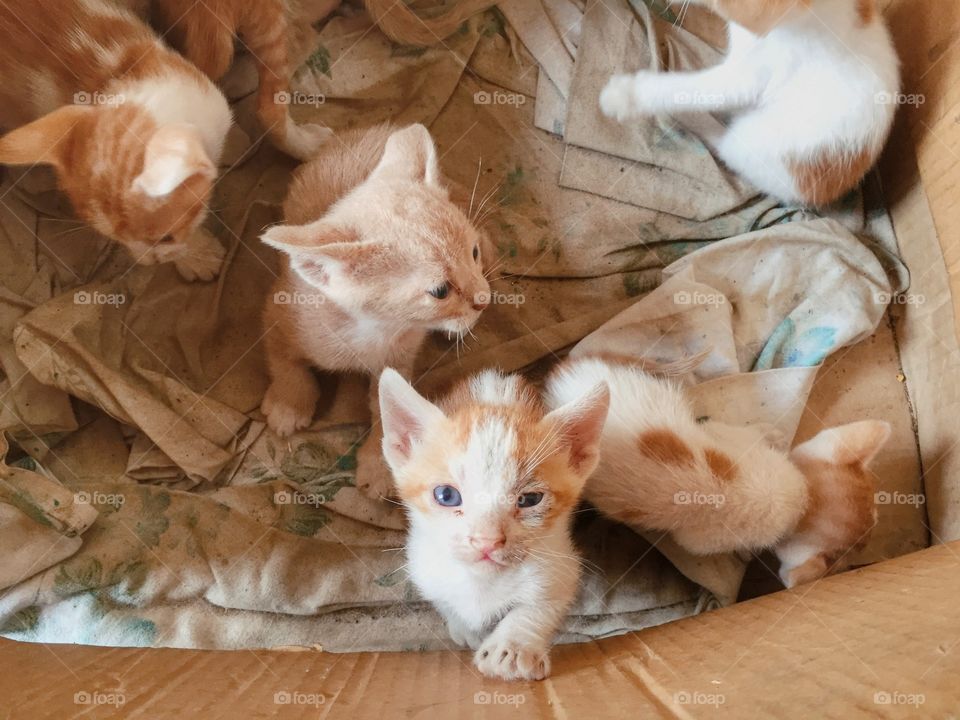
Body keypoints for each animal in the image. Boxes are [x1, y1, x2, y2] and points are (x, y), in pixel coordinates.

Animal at [260, 122, 492, 500]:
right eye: (440, 291)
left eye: (473, 254)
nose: (484, 299)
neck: (371, 331)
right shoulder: (277, 308)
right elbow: (283, 360)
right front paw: (288, 403)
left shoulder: (398, 358)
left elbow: (390, 408)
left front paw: (379, 466)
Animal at [376, 368, 608, 676]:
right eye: (446, 495)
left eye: (529, 499)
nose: (487, 541)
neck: (482, 581)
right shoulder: (423, 565)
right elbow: (444, 600)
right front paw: (466, 628)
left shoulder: (561, 563)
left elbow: (540, 606)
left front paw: (511, 647)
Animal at [548, 358, 892, 588]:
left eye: (877, 518)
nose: (869, 545)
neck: (803, 500)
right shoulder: (699, 539)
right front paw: (743, 554)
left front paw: (771, 434)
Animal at [600, 0, 900, 208]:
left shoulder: (750, 76)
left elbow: (689, 89)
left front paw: (626, 95)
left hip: (758, 145)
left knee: (723, 143)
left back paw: (689, 119)